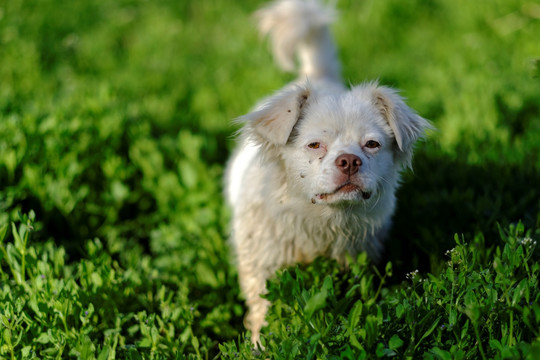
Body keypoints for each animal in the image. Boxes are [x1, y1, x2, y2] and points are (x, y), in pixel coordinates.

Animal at [224, 0, 430, 344]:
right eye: (315, 145)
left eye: (372, 144)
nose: (349, 160)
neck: (321, 222)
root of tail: (317, 75)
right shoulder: (262, 266)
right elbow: (263, 310)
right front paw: (259, 344)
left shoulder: (358, 261)